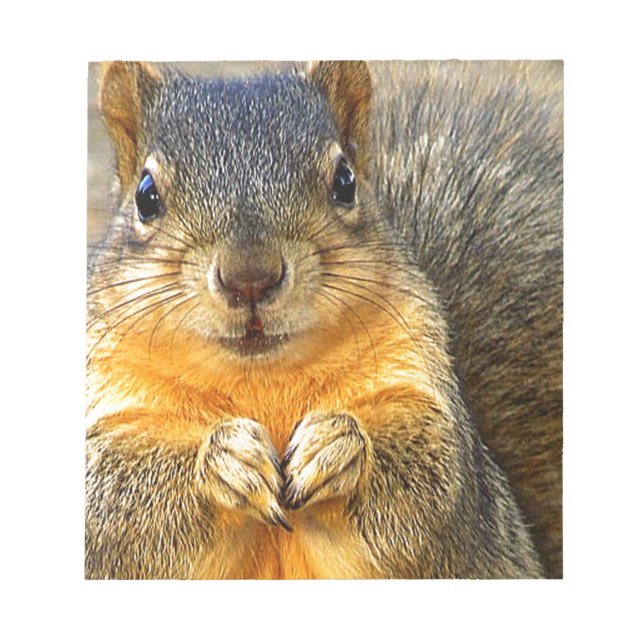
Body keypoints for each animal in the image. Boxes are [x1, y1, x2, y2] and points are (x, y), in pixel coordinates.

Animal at [86, 60, 562, 579]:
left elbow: (432, 482)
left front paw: (338, 446)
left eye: (345, 181)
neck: (261, 379)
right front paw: (224, 459)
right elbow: (114, 503)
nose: (250, 277)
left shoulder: (428, 403)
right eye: (146, 196)